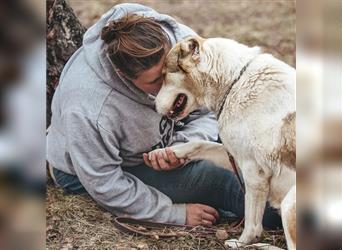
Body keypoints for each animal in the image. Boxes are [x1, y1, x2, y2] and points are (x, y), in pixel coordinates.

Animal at [151, 36, 296, 249]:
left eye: (163, 76)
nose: (153, 106)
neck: (234, 83)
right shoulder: (234, 156)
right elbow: (200, 145)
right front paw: (163, 155)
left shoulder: (254, 172)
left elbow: (251, 223)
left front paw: (241, 242)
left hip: (289, 205)